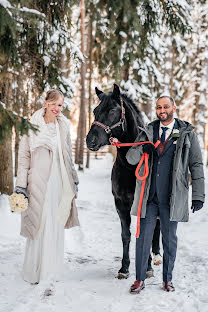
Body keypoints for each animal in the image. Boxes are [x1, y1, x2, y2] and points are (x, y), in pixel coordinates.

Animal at [85, 84, 160, 280]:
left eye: (112, 110)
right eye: (95, 111)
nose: (90, 140)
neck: (131, 166)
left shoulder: (144, 204)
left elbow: (146, 233)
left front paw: (147, 266)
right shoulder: (120, 203)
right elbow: (125, 235)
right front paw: (124, 268)